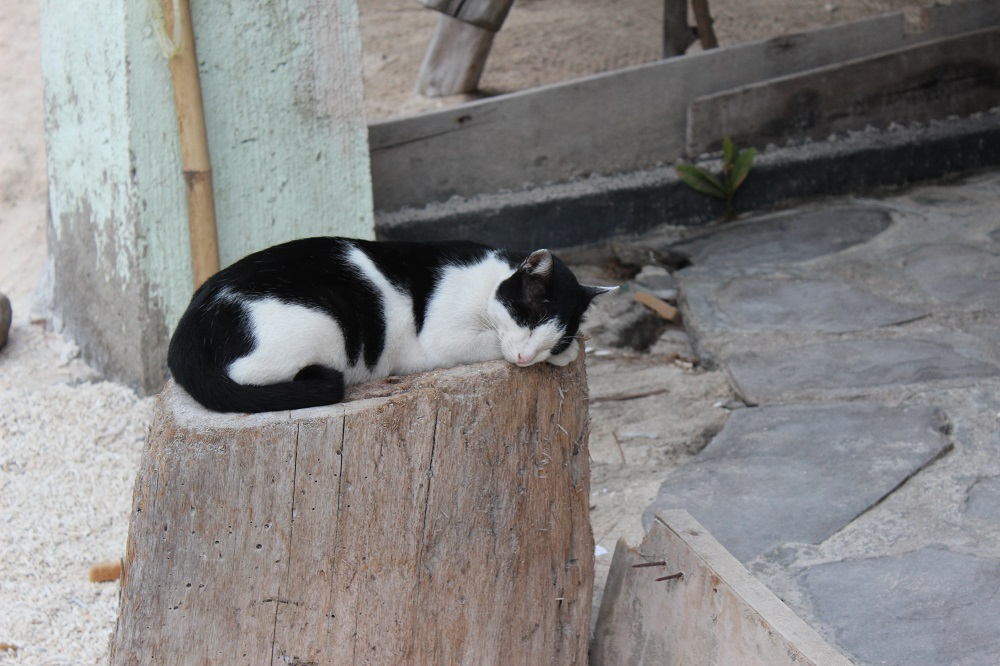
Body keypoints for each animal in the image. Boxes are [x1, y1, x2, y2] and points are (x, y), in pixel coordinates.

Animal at [168, 233, 612, 410]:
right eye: (528, 318)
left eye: (551, 337)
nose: (526, 357)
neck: (487, 278)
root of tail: (191, 321)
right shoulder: (441, 339)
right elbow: (489, 343)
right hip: (320, 325)